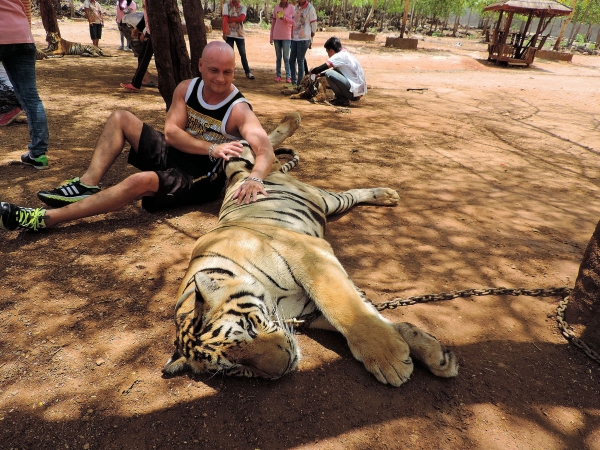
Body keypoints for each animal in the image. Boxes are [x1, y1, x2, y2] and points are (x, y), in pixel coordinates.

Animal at [162, 112, 458, 386]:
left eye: (248, 328)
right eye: (234, 367)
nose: (284, 366)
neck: (271, 300)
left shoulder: (310, 256)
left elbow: (345, 309)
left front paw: (390, 358)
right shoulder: (306, 311)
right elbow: (371, 314)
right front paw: (434, 354)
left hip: (274, 178)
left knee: (255, 146)